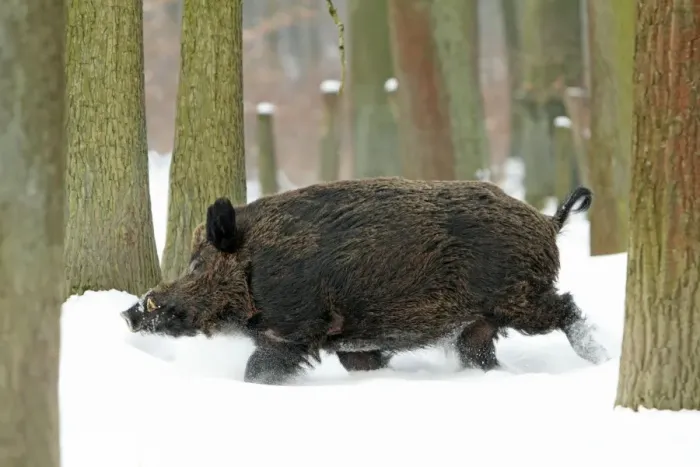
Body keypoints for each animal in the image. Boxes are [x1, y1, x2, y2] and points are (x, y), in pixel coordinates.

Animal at [121, 177, 610, 385]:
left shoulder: (294, 330)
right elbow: (363, 363)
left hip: (520, 299)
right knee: (479, 354)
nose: (130, 311)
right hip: (479, 324)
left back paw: (601, 358)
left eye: (196, 266)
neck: (257, 267)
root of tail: (548, 222)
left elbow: (259, 369)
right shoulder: (353, 340)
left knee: (567, 309)